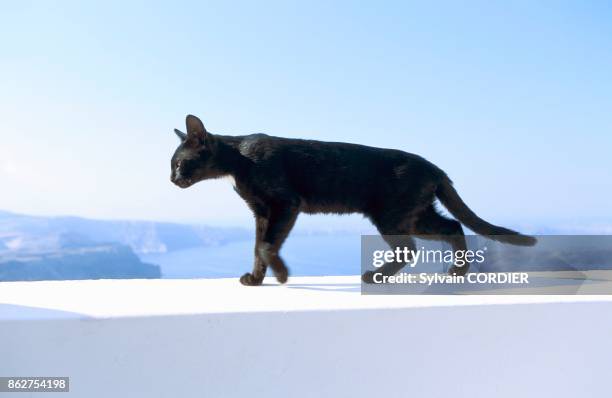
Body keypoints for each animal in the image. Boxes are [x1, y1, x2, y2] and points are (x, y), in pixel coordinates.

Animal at [170, 113, 532, 284]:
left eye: (177, 163)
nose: (171, 179)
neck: (239, 158)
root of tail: (435, 167)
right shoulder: (261, 212)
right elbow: (258, 246)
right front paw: (257, 279)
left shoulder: (285, 204)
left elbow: (267, 245)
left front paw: (282, 275)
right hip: (416, 214)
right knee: (453, 225)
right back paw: (457, 272)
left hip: (393, 215)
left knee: (413, 246)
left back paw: (379, 276)